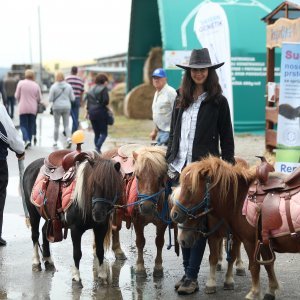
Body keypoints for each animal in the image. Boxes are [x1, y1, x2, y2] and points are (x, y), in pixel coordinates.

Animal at [22, 155, 123, 284]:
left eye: (112, 187)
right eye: (93, 184)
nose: (98, 214)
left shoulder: (101, 227)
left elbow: (100, 251)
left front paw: (102, 275)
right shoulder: (75, 230)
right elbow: (77, 253)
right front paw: (76, 276)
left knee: (44, 231)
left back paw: (48, 259)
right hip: (33, 211)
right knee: (35, 234)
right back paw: (36, 261)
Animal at [171, 156, 300, 298]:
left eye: (190, 189)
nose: (174, 214)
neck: (239, 198)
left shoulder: (250, 241)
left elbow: (254, 266)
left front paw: (254, 293)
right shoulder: (263, 241)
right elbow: (268, 265)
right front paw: (271, 290)